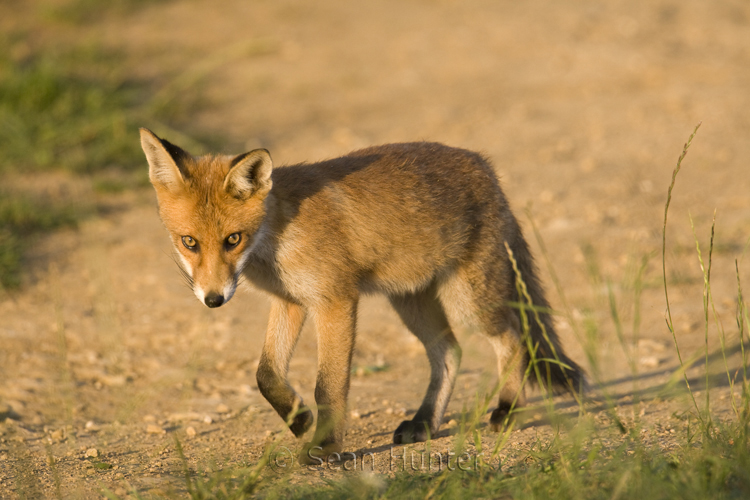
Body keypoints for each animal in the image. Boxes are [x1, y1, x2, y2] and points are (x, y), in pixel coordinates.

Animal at [141, 128, 588, 460]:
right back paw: (425, 422)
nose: (213, 299)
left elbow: (329, 386)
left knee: (513, 337)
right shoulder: (290, 302)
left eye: (232, 239)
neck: (277, 239)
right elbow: (266, 375)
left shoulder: (334, 301)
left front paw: (325, 447)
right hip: (410, 301)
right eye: (189, 242)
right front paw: (299, 420)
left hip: (470, 301)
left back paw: (507, 409)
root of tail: (485, 166)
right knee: (450, 352)